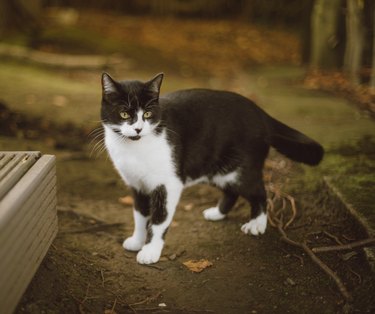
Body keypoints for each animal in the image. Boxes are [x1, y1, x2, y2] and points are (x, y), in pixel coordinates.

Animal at [101, 72, 324, 264]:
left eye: (147, 113)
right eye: (124, 114)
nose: (138, 129)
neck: (134, 148)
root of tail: (260, 112)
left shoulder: (168, 184)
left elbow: (158, 219)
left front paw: (150, 251)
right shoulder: (136, 184)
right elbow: (140, 215)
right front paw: (137, 241)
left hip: (239, 170)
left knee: (260, 192)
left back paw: (257, 224)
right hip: (218, 170)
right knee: (231, 191)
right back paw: (217, 213)